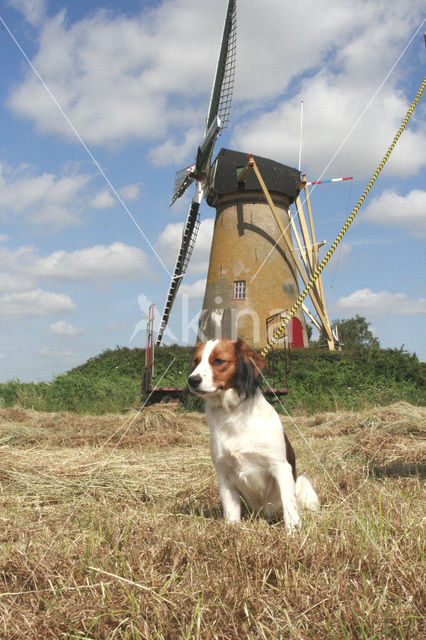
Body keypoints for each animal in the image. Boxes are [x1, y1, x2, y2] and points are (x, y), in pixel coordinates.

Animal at [187, 338, 320, 532]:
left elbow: (289, 505)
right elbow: (231, 512)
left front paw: (293, 532)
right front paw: (232, 531)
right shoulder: (224, 474)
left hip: (303, 484)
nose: (192, 380)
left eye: (218, 361)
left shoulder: (280, 467)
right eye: (196, 361)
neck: (233, 414)